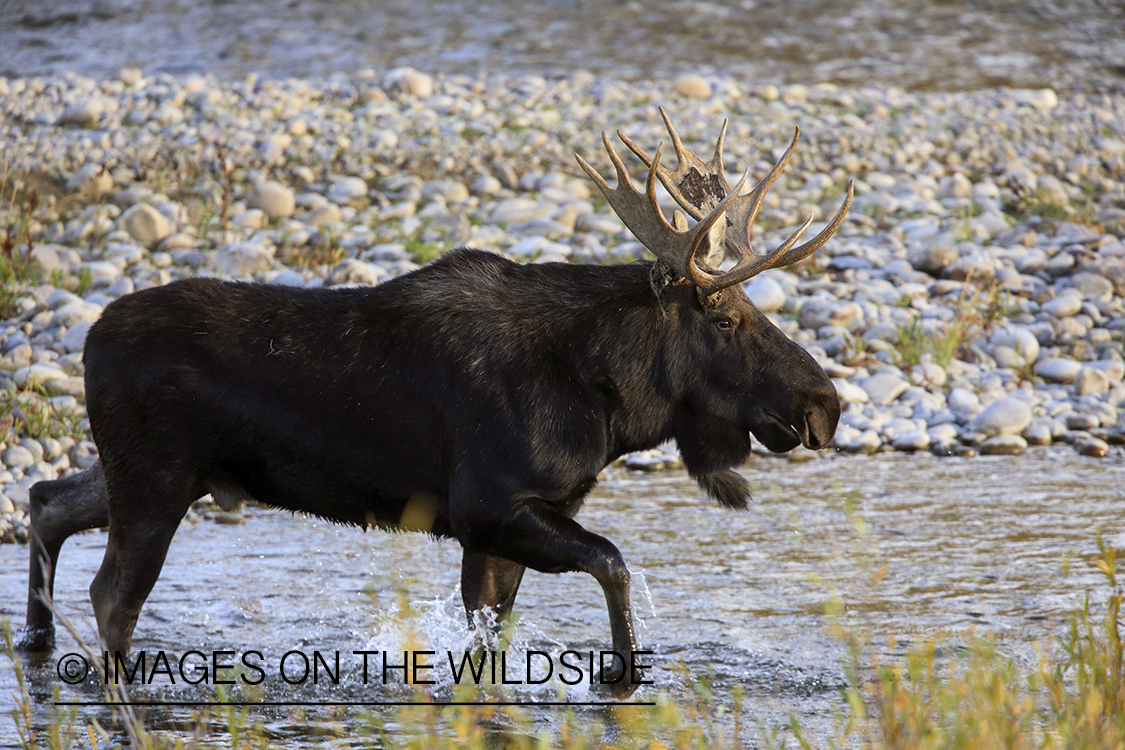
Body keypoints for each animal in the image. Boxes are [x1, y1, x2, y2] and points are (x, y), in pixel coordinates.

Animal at [19, 111, 850, 697]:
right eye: (724, 318)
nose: (826, 404)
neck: (608, 403)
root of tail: (88, 340)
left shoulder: (508, 523)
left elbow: (491, 641)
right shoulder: (490, 506)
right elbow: (613, 563)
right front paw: (619, 675)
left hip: (146, 471)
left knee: (46, 499)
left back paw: (34, 642)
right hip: (156, 480)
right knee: (112, 594)